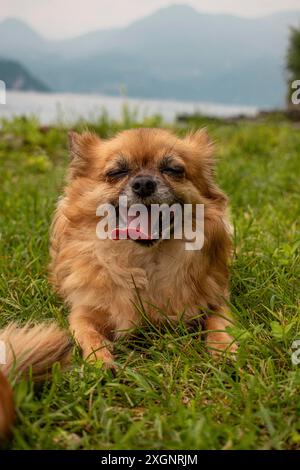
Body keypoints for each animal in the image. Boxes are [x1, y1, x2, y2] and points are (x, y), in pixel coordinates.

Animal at [0, 127, 236, 436]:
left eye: (173, 169)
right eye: (117, 172)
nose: (144, 183)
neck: (143, 259)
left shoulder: (214, 300)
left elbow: (219, 325)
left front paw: (225, 352)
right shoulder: (82, 315)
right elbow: (90, 337)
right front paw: (102, 363)